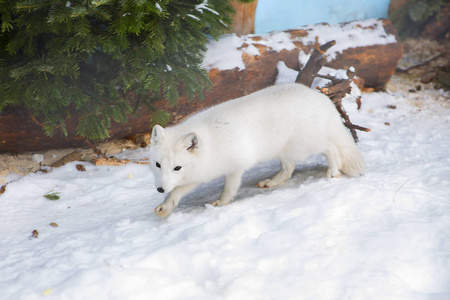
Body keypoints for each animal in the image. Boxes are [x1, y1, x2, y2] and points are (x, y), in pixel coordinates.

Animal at [149, 83, 364, 217]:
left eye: (177, 167)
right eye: (157, 165)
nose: (159, 189)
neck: (210, 143)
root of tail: (320, 97)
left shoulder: (235, 167)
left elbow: (230, 188)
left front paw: (222, 202)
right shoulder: (201, 173)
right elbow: (176, 192)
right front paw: (165, 206)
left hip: (304, 146)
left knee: (331, 147)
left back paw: (333, 171)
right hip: (287, 152)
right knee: (289, 169)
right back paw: (271, 182)